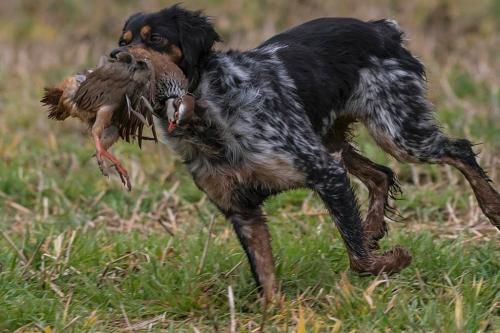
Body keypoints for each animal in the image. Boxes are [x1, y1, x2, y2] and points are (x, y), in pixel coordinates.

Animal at [112, 5, 500, 300]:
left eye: (156, 38)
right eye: (123, 41)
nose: (118, 56)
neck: (210, 118)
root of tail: (381, 29)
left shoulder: (324, 172)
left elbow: (358, 258)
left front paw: (394, 261)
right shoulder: (241, 209)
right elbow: (265, 274)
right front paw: (274, 313)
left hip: (397, 132)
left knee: (458, 150)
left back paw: (492, 208)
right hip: (332, 140)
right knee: (381, 174)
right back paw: (373, 227)